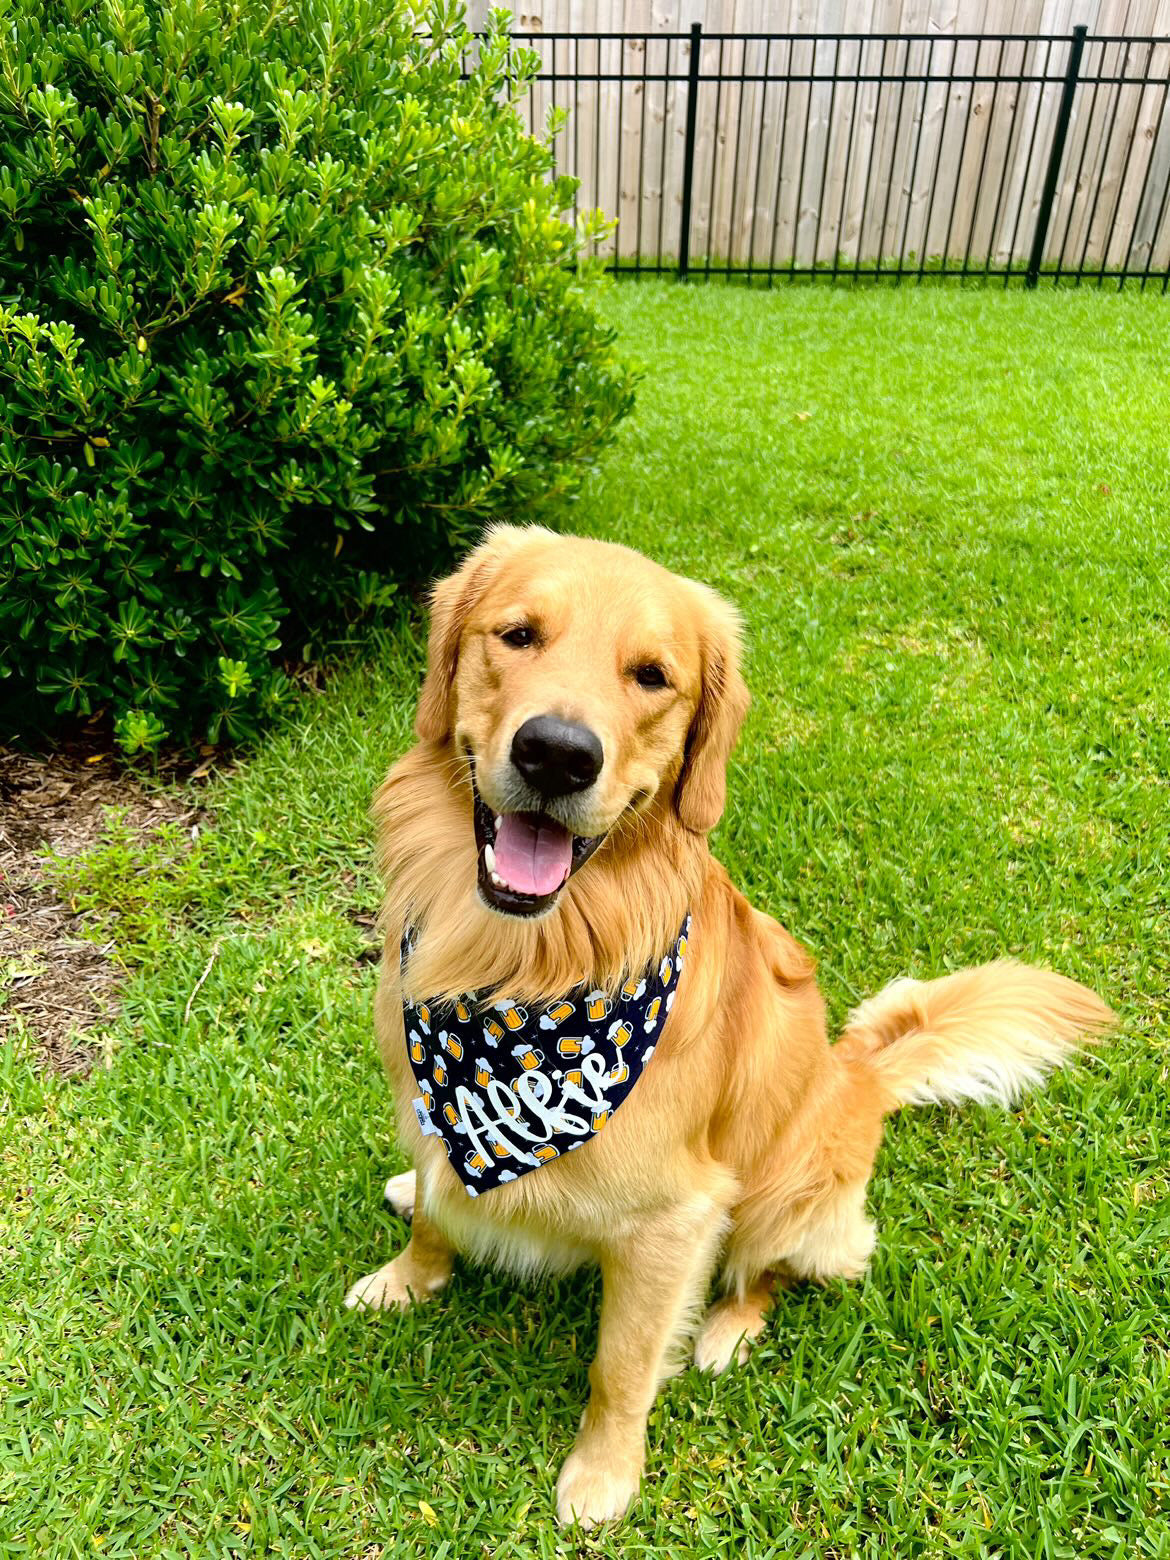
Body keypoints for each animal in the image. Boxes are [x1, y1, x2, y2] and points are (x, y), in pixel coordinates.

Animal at [343, 524, 1110, 1522]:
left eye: (651, 677)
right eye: (516, 635)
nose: (557, 754)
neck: (521, 971)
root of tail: (860, 1074)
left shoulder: (674, 1219)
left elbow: (622, 1364)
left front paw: (602, 1475)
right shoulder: (432, 1108)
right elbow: (438, 1214)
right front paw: (406, 1278)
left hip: (791, 1189)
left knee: (774, 1271)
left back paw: (726, 1331)